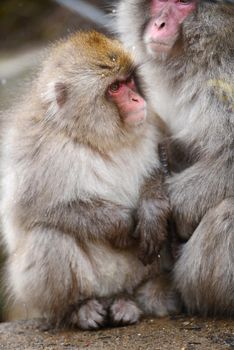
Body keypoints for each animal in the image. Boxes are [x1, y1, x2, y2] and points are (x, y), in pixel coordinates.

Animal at [1, 31, 179, 330]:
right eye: (115, 88)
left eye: (129, 80)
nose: (136, 99)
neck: (92, 136)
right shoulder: (33, 149)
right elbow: (32, 210)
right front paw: (120, 223)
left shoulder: (153, 124)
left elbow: (162, 171)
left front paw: (151, 212)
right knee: (49, 234)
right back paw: (78, 308)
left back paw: (127, 302)